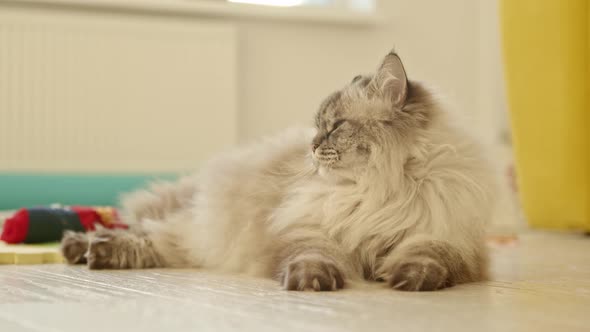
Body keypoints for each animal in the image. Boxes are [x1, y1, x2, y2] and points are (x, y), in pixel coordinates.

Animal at [61, 49, 494, 290]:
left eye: (334, 127)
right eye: (318, 127)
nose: (312, 146)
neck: (376, 192)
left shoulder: (442, 235)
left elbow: (427, 259)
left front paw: (407, 280)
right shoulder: (307, 229)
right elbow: (312, 257)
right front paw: (311, 283)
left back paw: (86, 250)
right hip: (203, 227)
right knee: (145, 235)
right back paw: (84, 248)